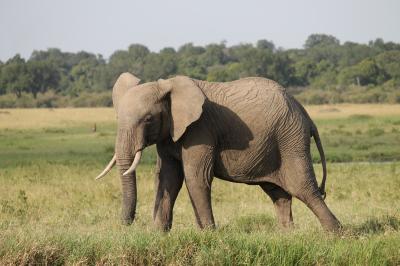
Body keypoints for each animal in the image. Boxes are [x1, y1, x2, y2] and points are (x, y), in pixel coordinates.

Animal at [94, 72, 340, 231]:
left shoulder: (200, 129)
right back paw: (287, 235)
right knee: (278, 192)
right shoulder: (169, 133)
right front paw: (158, 233)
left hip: (290, 138)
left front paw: (209, 234)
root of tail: (305, 114)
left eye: (148, 119)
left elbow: (196, 177)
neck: (167, 86)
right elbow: (167, 178)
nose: (125, 225)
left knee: (303, 188)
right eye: (117, 118)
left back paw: (336, 234)